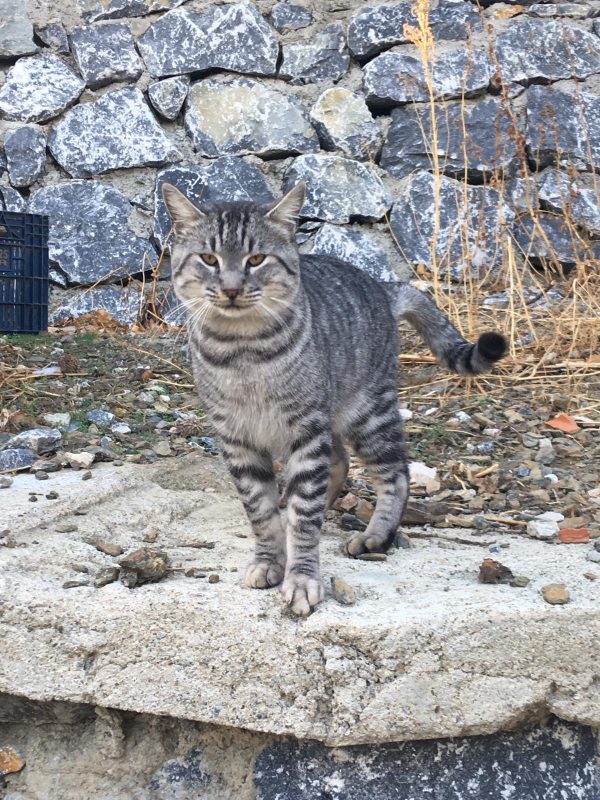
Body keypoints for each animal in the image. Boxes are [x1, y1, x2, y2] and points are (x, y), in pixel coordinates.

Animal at [162, 182, 506, 616]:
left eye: (256, 259)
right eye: (209, 258)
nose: (231, 289)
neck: (243, 351)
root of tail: (382, 286)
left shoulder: (307, 429)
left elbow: (305, 516)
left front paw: (301, 577)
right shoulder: (236, 437)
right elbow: (261, 511)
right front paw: (269, 558)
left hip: (368, 413)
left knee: (396, 474)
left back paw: (376, 535)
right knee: (338, 464)